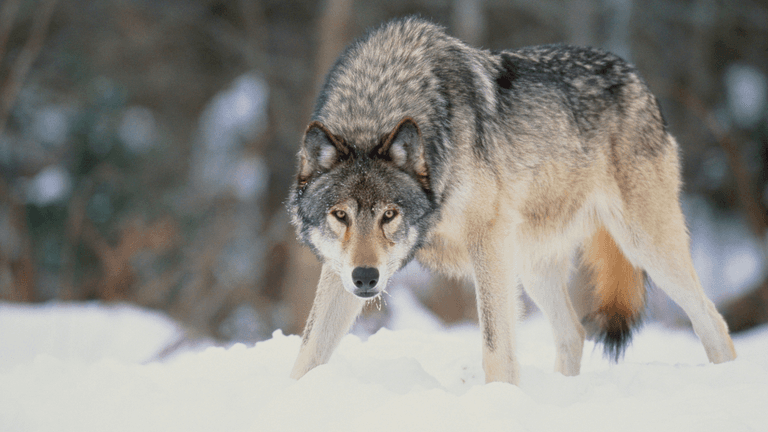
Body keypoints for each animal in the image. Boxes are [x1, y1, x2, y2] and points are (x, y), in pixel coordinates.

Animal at [287, 17, 736, 384]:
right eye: (340, 215)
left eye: (389, 214)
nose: (366, 277)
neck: (378, 103)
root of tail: (636, 76)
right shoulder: (339, 269)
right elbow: (308, 351)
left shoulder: (487, 241)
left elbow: (495, 347)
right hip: (532, 265)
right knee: (574, 334)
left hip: (645, 247)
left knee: (714, 322)